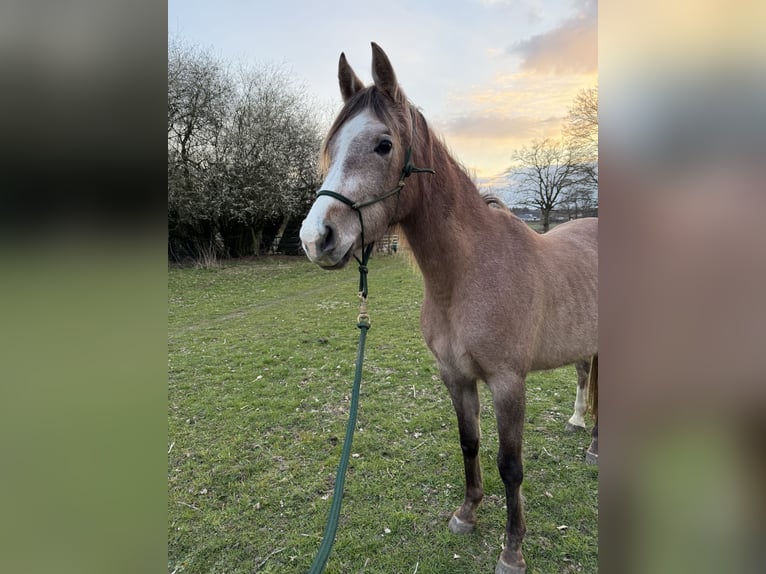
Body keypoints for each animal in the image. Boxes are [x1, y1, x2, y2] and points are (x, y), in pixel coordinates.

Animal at [300, 43, 598, 574]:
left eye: (383, 145)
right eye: (331, 147)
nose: (316, 239)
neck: (467, 276)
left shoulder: (508, 383)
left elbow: (510, 465)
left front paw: (512, 549)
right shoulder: (455, 376)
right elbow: (469, 442)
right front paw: (467, 513)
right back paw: (580, 423)